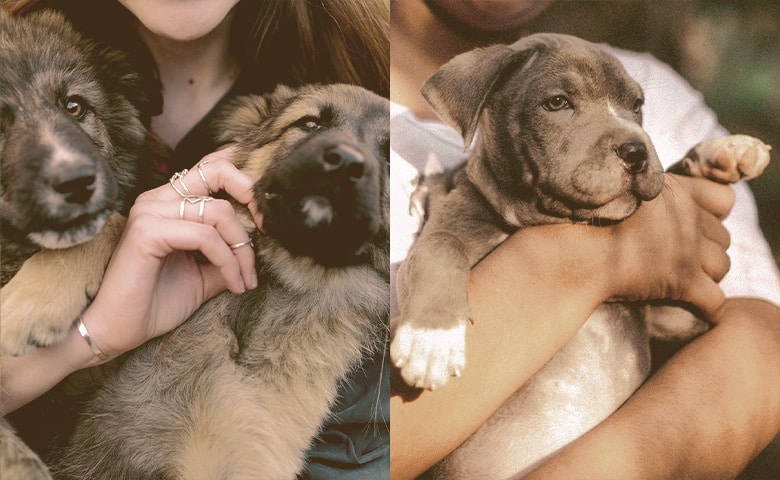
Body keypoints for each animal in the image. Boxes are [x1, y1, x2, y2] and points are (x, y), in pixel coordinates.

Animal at [394, 31, 772, 478]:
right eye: (557, 103)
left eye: (636, 105)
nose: (636, 151)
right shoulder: (448, 228)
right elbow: (441, 250)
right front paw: (431, 340)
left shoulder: (675, 314)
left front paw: (723, 151)